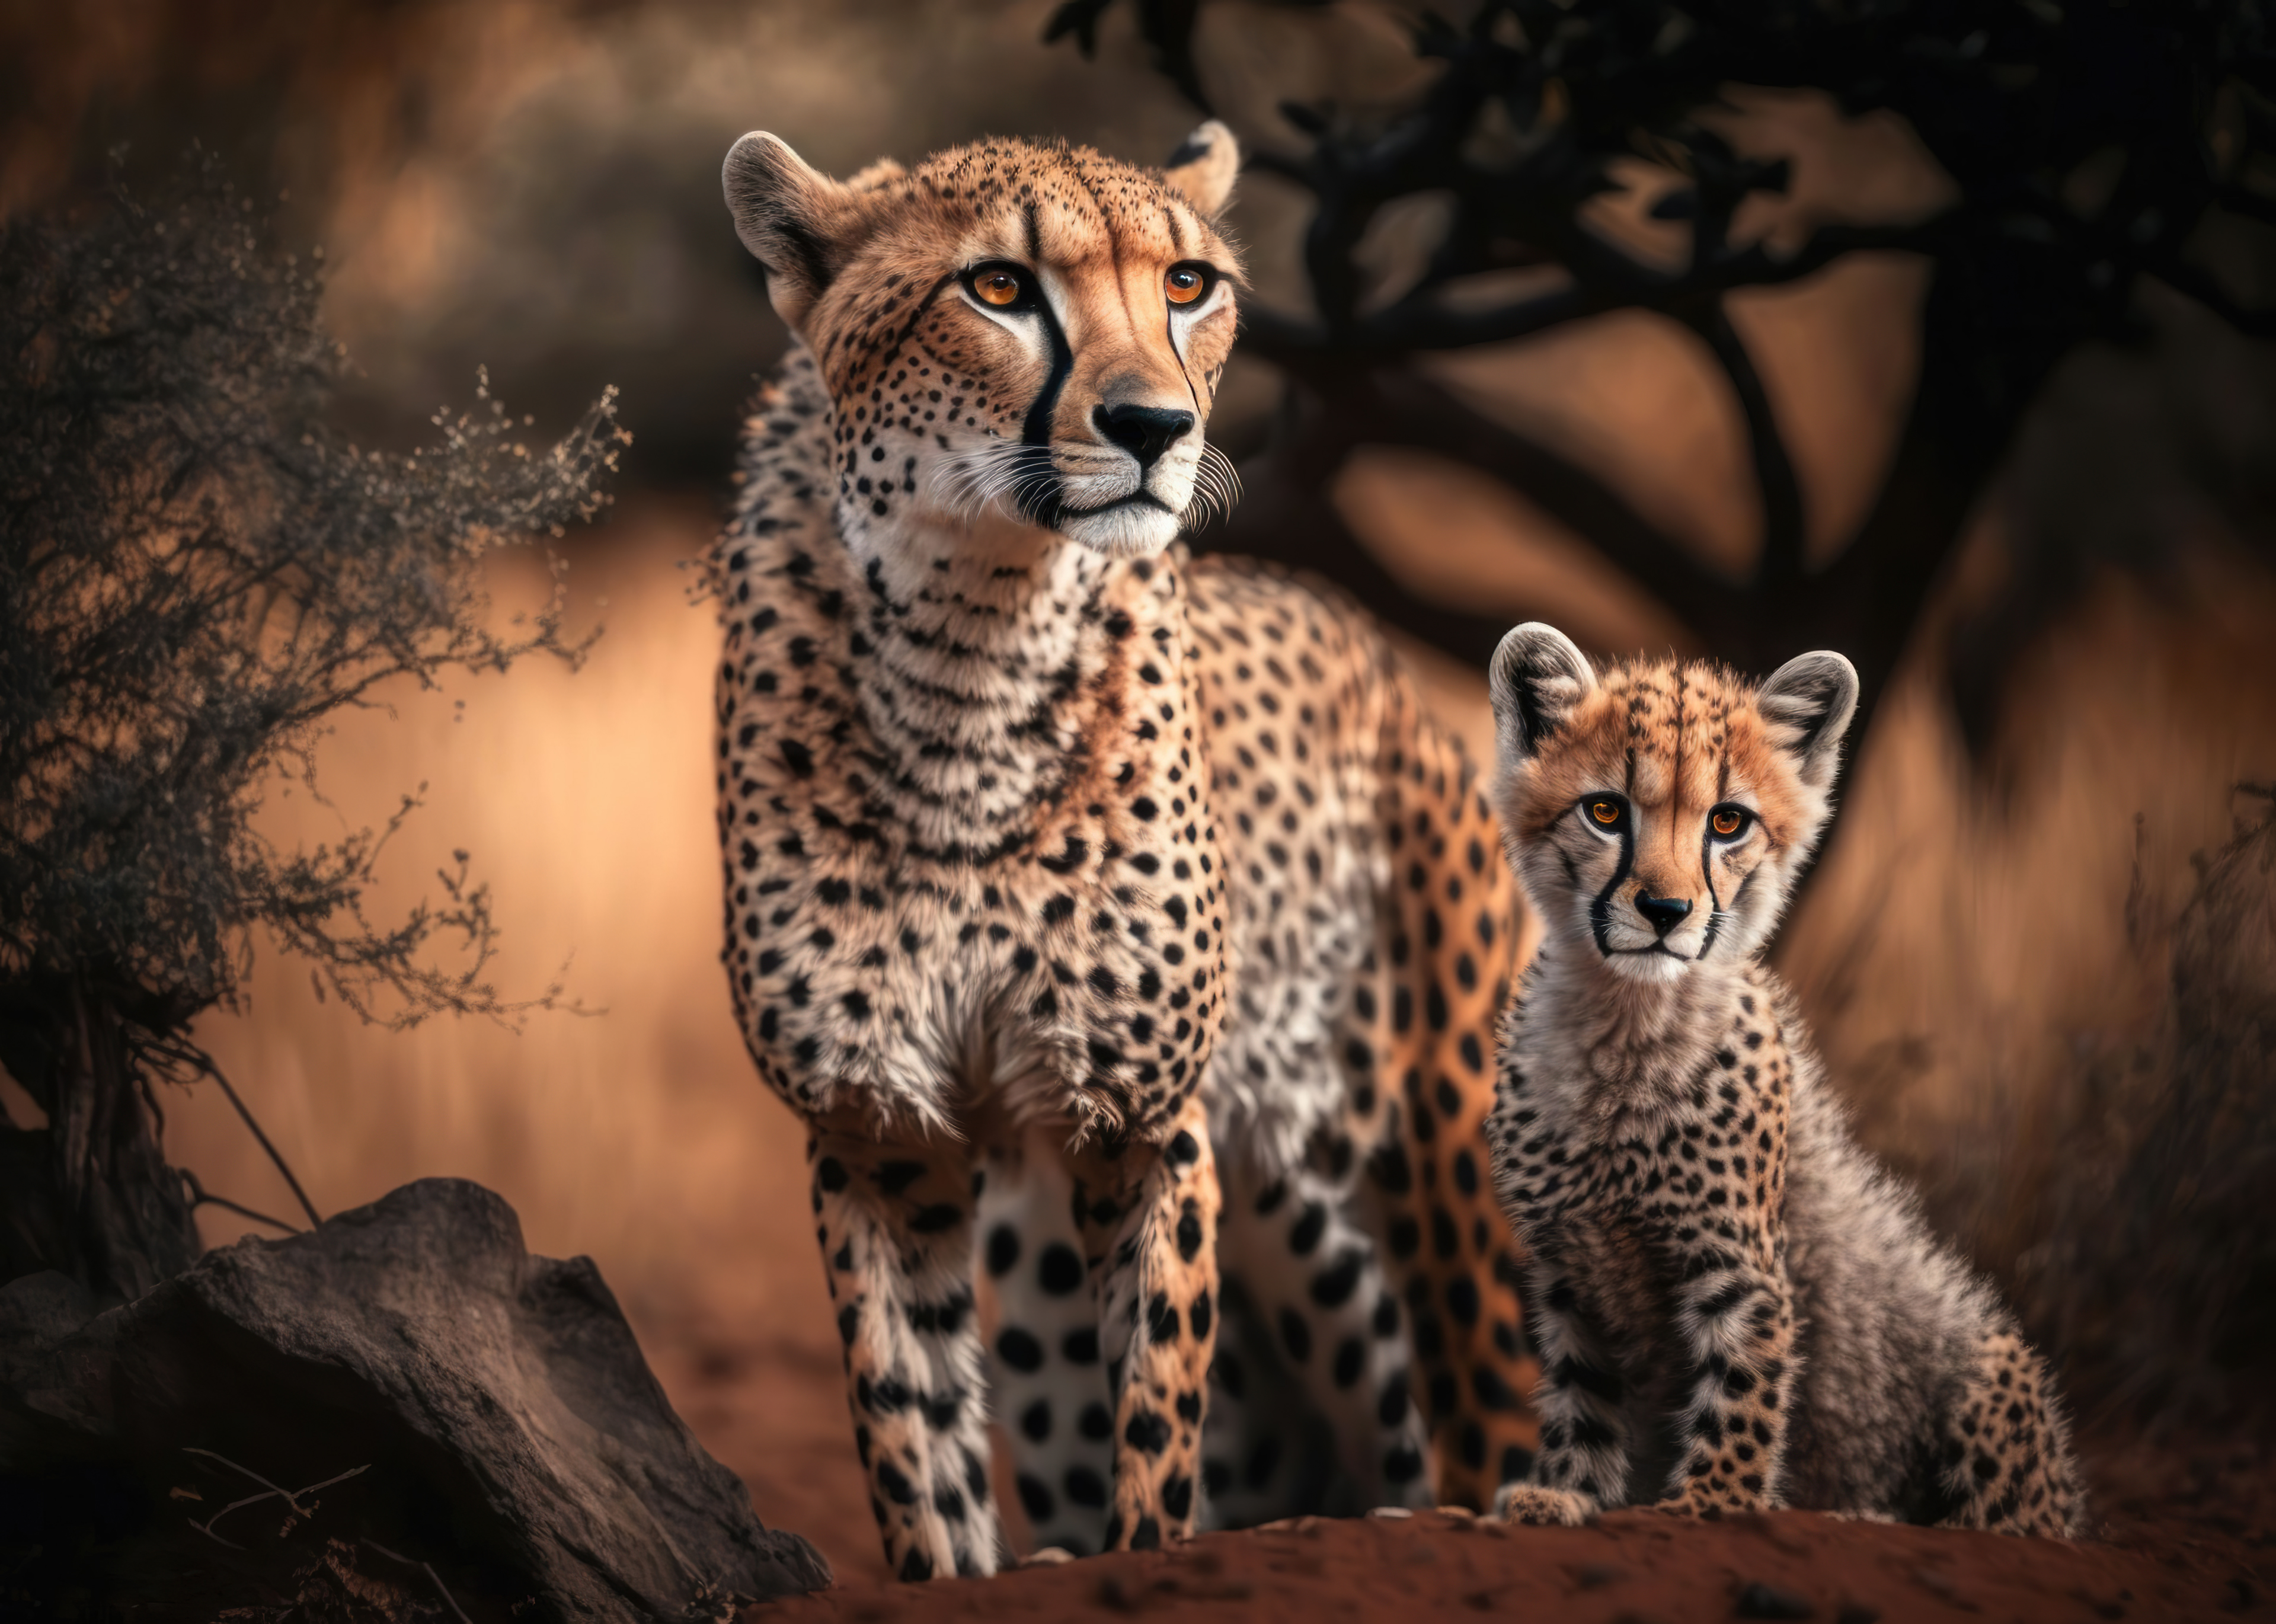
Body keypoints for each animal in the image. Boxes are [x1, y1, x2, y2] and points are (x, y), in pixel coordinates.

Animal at [710, 120, 1537, 1580]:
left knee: (1477, 1420)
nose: (1157, 428)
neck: (968, 643)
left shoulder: (1145, 1126)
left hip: (1418, 1175)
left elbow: (1156, 1431)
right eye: (997, 287)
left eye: (1188, 284)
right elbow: (911, 1443)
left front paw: (1142, 1543)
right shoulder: (875, 1131)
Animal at [1478, 622, 2085, 1539]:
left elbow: (1742, 1388)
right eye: (1606, 811)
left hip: (1983, 1358)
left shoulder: (1739, 1263)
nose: (1665, 911)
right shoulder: (1570, 1269)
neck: (1624, 1025)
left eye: (1728, 823)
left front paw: (1712, 1503)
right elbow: (1583, 1397)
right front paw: (1567, 1492)